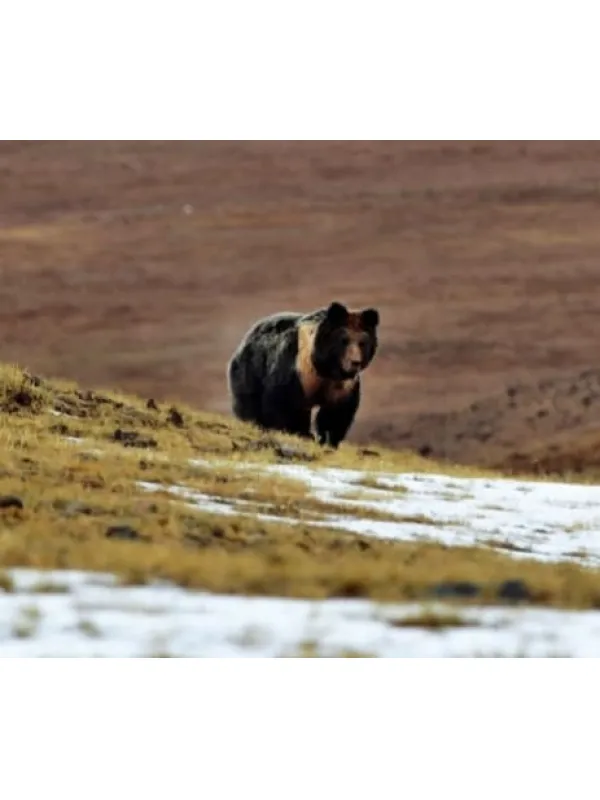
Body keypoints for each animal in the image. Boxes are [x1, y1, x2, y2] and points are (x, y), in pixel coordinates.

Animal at [226, 302, 380, 446]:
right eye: (344, 340)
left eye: (362, 343)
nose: (355, 362)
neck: (324, 369)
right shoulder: (298, 371)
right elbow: (283, 403)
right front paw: (296, 433)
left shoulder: (341, 386)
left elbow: (336, 414)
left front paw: (327, 440)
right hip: (251, 371)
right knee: (249, 403)